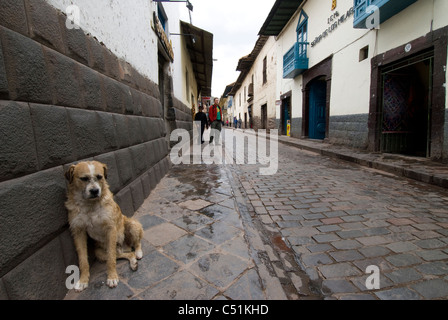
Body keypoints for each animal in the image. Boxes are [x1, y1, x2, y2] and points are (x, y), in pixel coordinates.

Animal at [63, 161, 142, 292]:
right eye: (84, 178)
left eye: (99, 177)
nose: (95, 191)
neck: (89, 205)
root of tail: (124, 247)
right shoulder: (78, 231)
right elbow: (83, 260)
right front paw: (83, 280)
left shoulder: (110, 228)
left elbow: (111, 259)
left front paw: (112, 277)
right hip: (100, 253)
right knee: (125, 254)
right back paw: (133, 261)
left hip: (132, 225)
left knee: (135, 244)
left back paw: (138, 253)